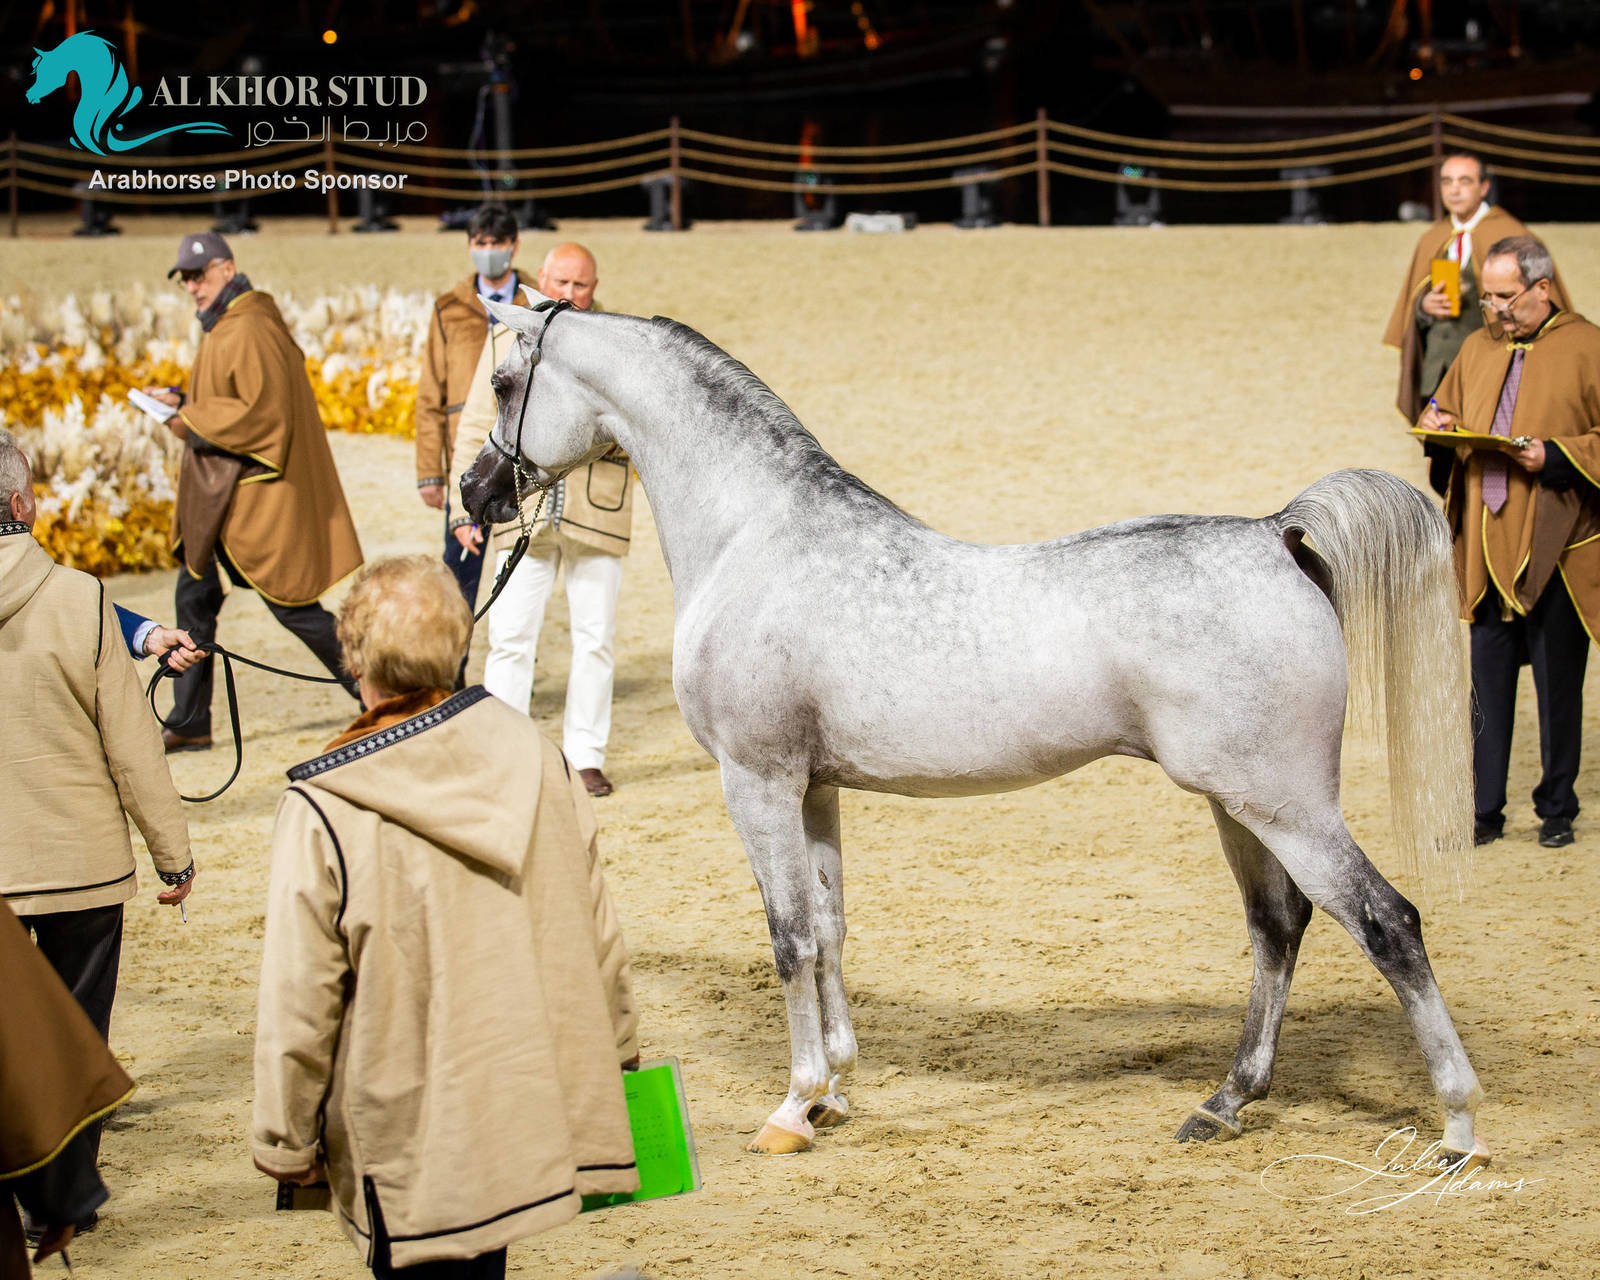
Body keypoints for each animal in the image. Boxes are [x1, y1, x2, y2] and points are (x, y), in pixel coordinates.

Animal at [459, 295, 1487, 1169]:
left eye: (505, 382)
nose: (476, 494)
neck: (755, 535)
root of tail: (1275, 534)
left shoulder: (756, 781)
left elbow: (788, 938)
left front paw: (793, 1107)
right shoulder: (815, 787)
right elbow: (830, 928)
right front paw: (836, 1089)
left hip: (1288, 806)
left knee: (1388, 923)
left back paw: (1458, 1128)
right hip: (1239, 805)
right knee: (1280, 927)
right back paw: (1224, 1103)